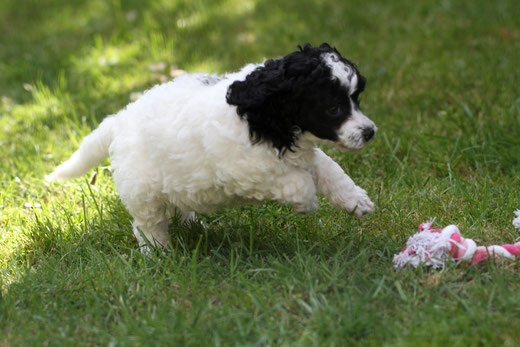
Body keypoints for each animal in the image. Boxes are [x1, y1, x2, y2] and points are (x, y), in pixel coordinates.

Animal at [46, 43, 376, 254]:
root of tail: (119, 120)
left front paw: (355, 201)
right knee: (147, 225)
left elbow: (329, 168)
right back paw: (158, 253)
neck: (267, 115)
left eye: (356, 98)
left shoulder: (302, 150)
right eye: (333, 109)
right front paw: (307, 202)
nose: (370, 132)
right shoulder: (247, 168)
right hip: (143, 192)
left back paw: (192, 225)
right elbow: (294, 181)